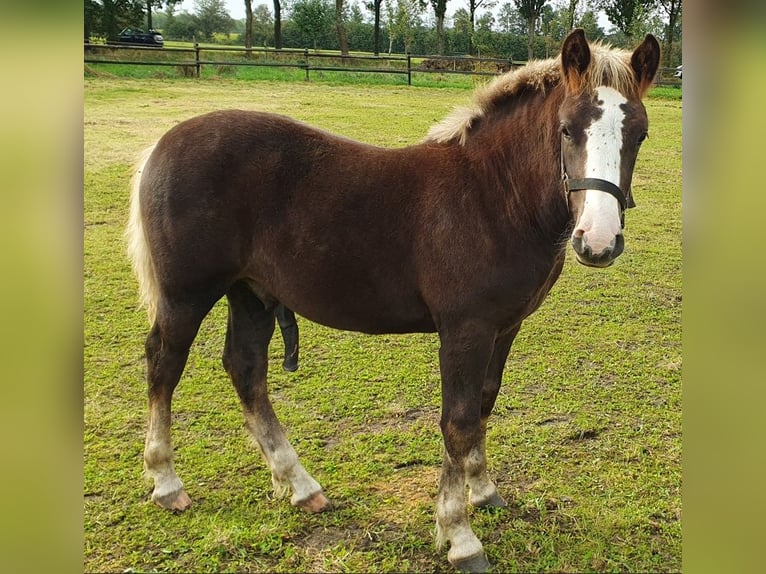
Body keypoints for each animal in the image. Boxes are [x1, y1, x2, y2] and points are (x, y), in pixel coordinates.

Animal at [129, 30, 664, 572]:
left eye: (639, 135)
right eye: (566, 130)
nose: (598, 241)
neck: (491, 196)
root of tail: (161, 145)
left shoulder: (505, 326)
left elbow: (483, 405)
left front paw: (482, 491)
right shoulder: (465, 329)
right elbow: (458, 421)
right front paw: (459, 536)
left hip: (251, 293)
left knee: (245, 369)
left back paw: (300, 486)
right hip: (186, 295)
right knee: (164, 366)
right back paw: (167, 483)